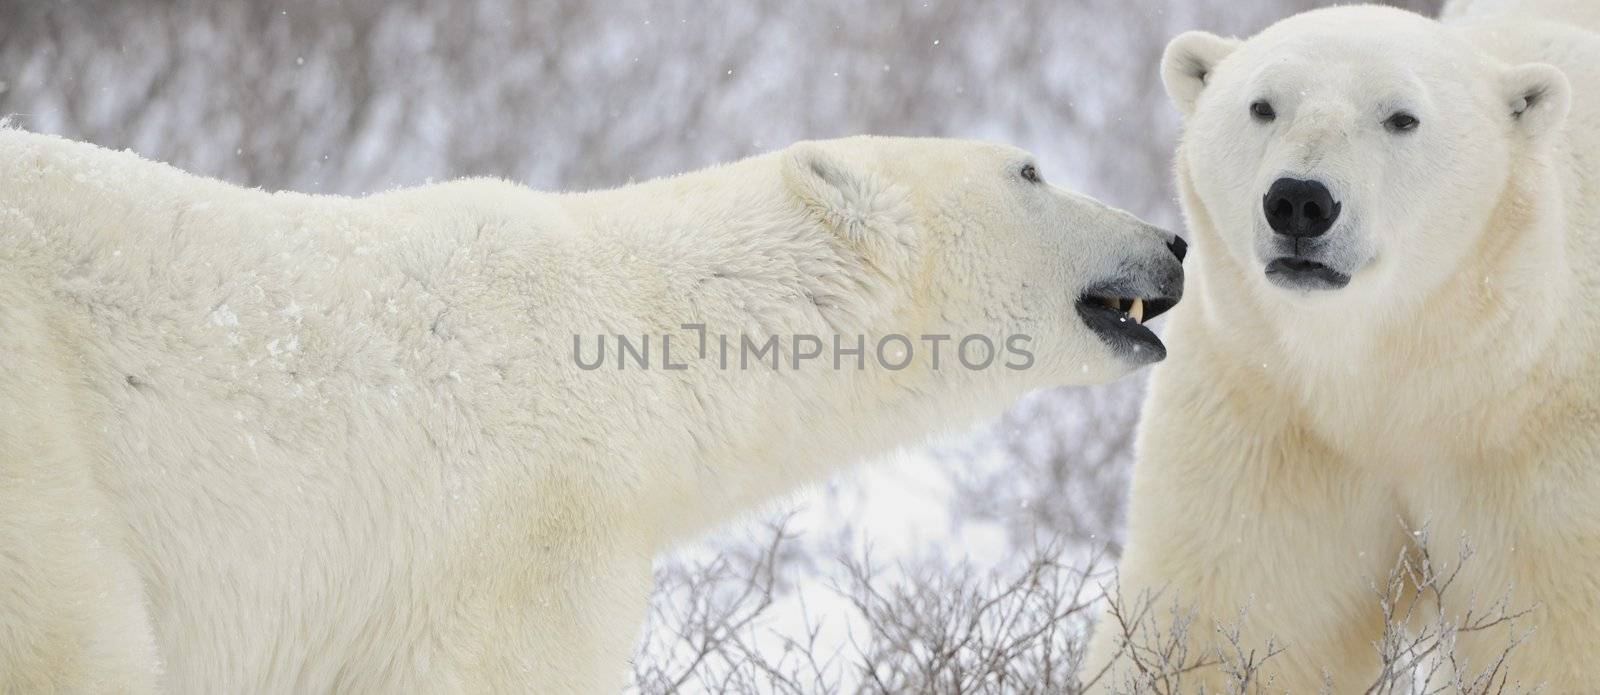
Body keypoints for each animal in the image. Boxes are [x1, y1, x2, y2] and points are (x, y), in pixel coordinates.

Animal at [1088, 2, 1600, 691]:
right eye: (1263, 105)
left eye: (1402, 117)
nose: (1299, 201)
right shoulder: (1272, 415)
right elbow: (1226, 608)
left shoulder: (1537, 441)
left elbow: (1558, 635)